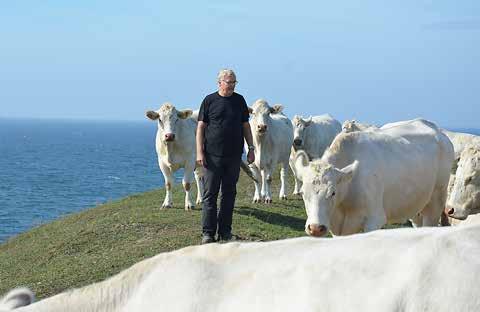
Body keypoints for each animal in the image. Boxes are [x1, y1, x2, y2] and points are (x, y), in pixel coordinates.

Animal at [292, 119, 454, 236]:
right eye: (302, 193)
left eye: (333, 192)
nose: (315, 228)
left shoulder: (374, 219)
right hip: (416, 203)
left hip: (436, 200)